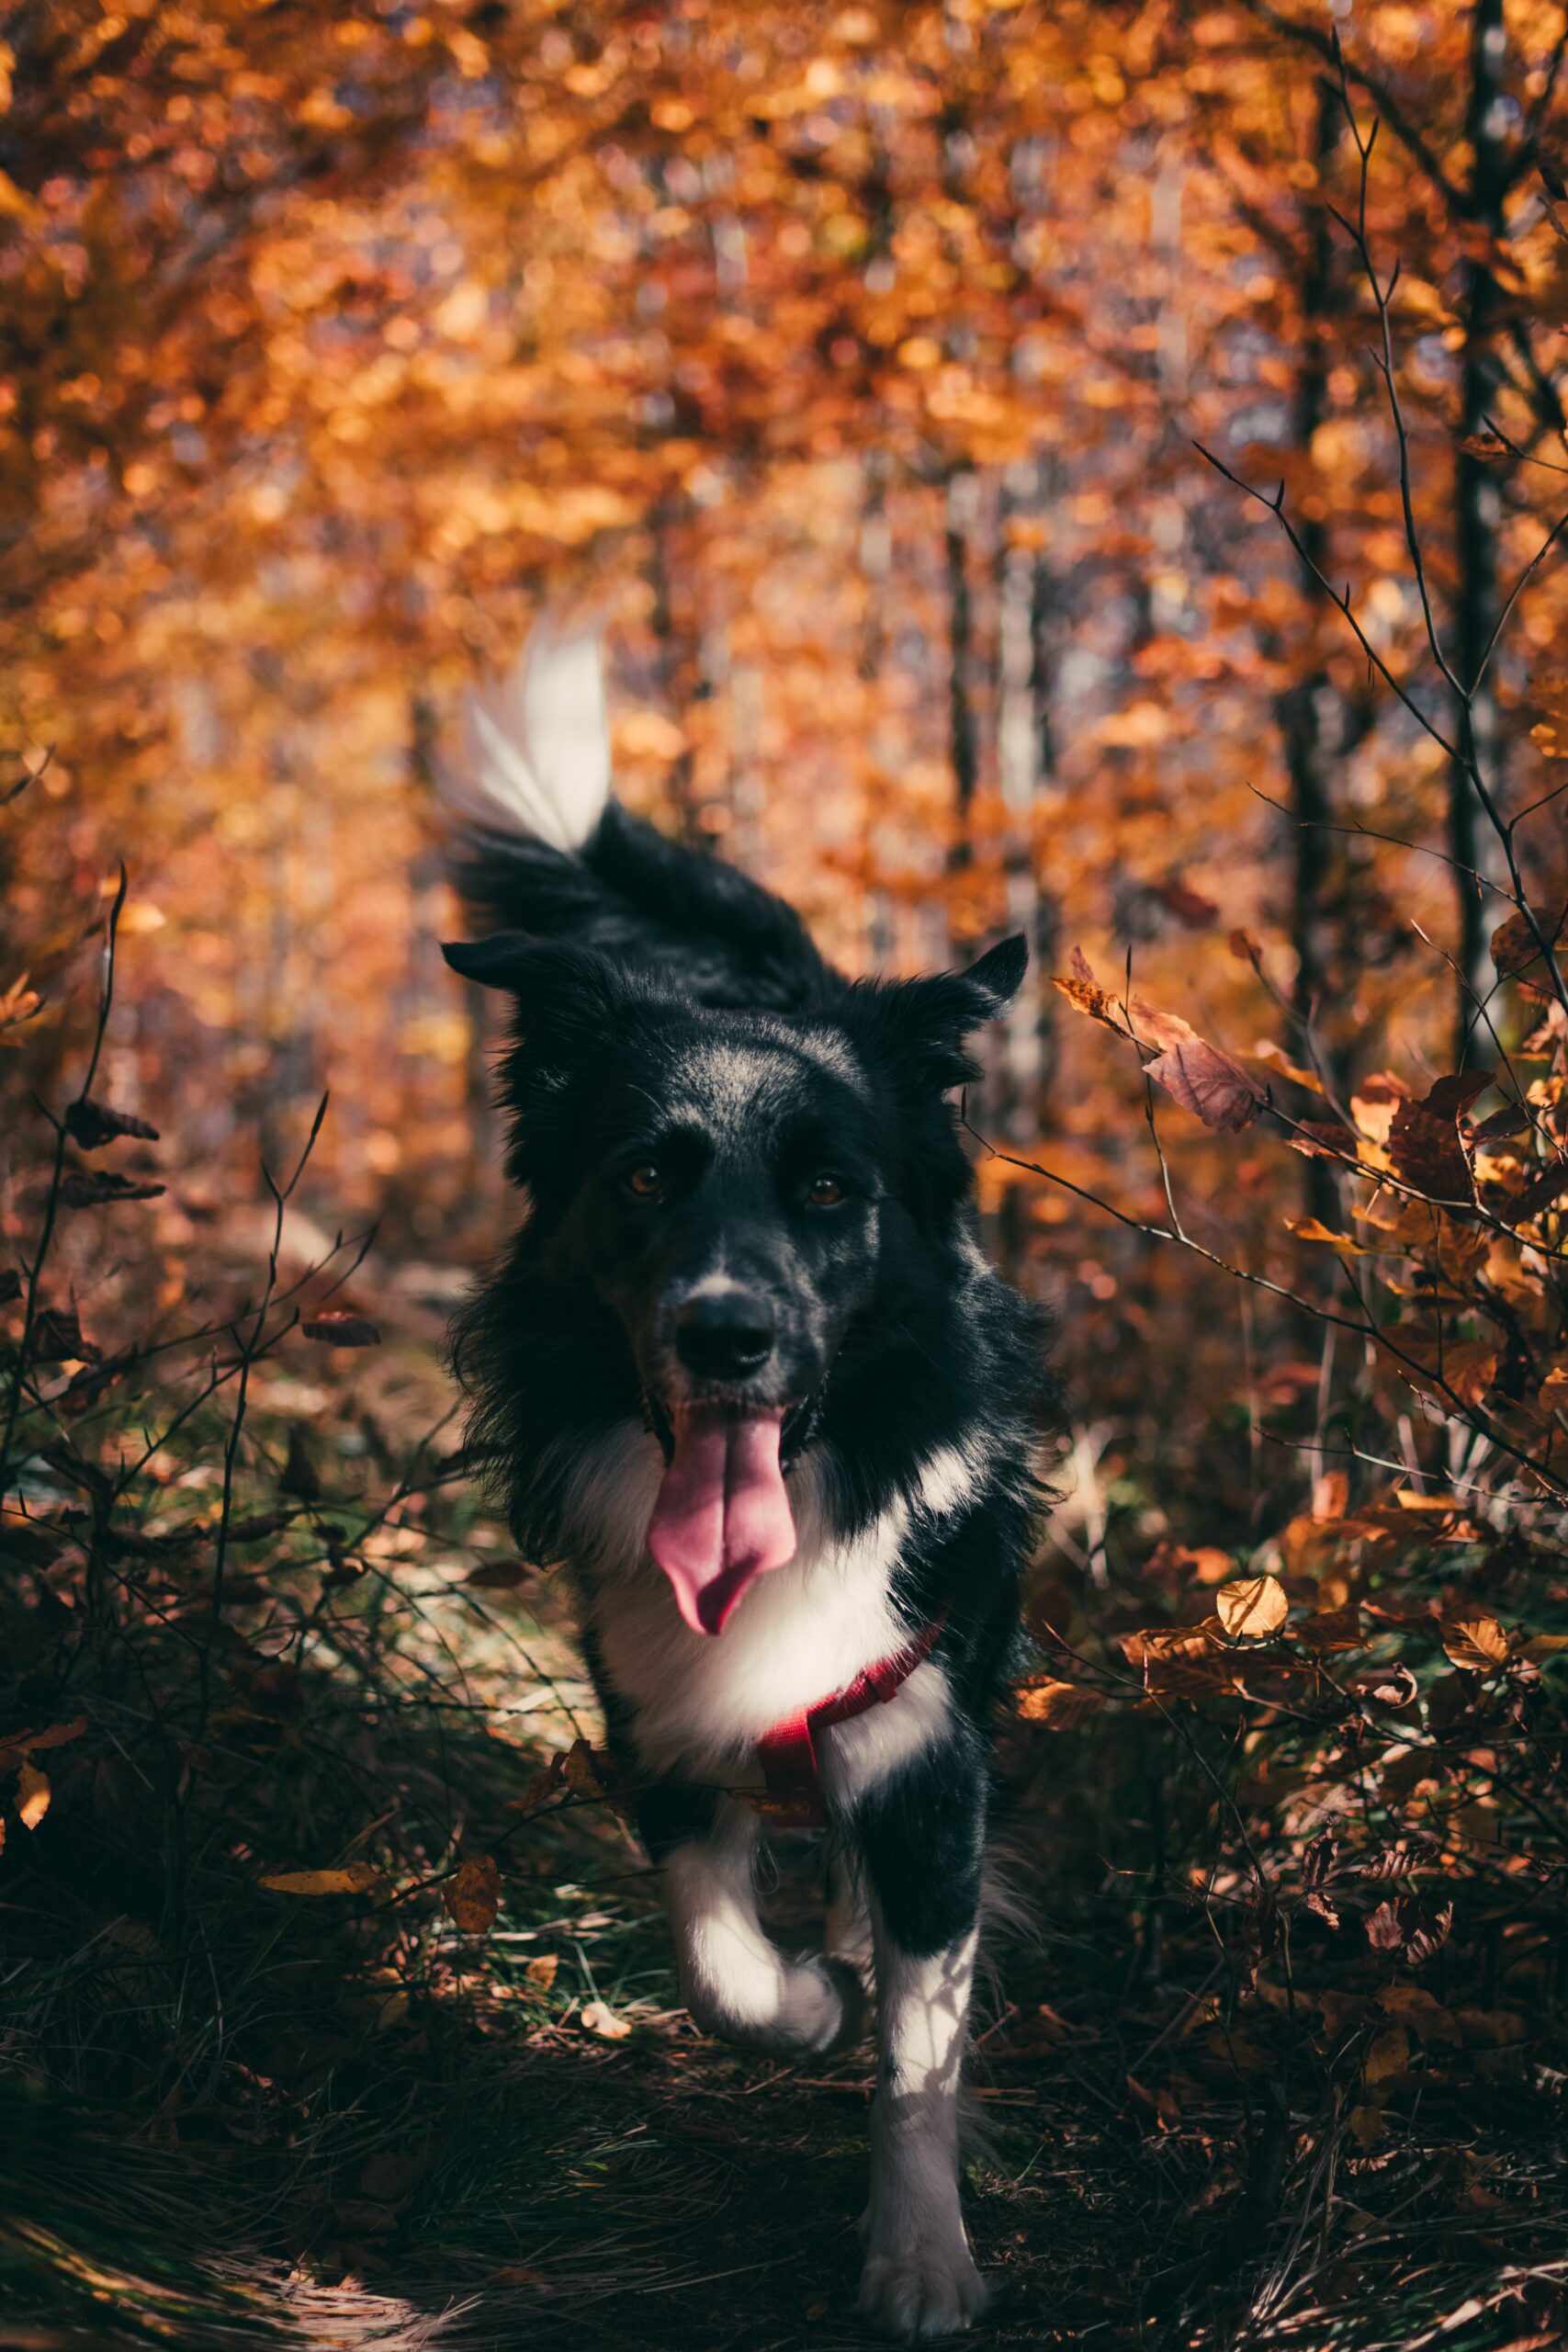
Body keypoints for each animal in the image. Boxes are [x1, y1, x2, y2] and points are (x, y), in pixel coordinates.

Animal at [442, 620, 1053, 2333]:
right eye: (646, 1173)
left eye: (832, 1192)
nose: (727, 1337)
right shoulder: (651, 1712)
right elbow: (721, 1968)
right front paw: (810, 2002)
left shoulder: (922, 1739)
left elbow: (921, 2049)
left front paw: (919, 2255)